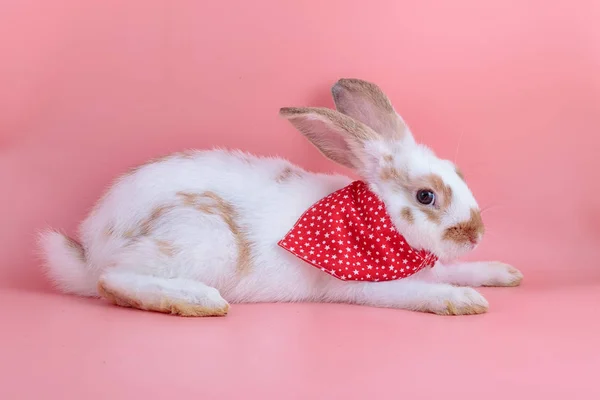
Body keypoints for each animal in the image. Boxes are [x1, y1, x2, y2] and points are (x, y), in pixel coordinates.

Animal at [39, 77, 524, 316]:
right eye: (426, 196)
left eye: (459, 173)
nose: (476, 234)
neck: (378, 220)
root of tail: (93, 248)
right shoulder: (364, 286)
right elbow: (423, 292)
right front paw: (464, 301)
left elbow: (455, 271)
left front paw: (503, 272)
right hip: (199, 238)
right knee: (113, 282)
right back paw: (199, 302)